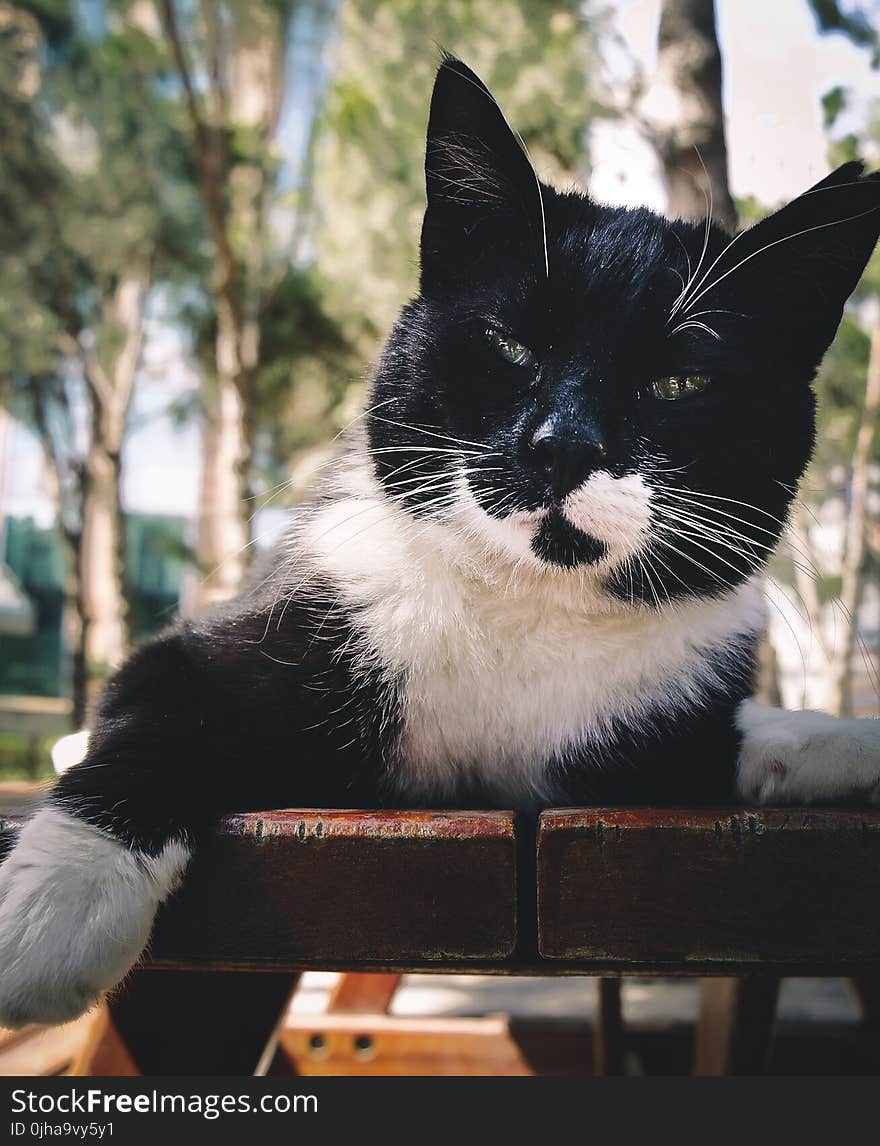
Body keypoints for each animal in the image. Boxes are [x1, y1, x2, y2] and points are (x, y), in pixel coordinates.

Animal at [1, 58, 880, 1031]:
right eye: (508, 344)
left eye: (678, 383)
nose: (562, 446)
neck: (529, 608)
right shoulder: (249, 630)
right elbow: (159, 708)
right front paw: (57, 903)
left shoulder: (652, 738)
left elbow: (738, 742)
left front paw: (843, 740)